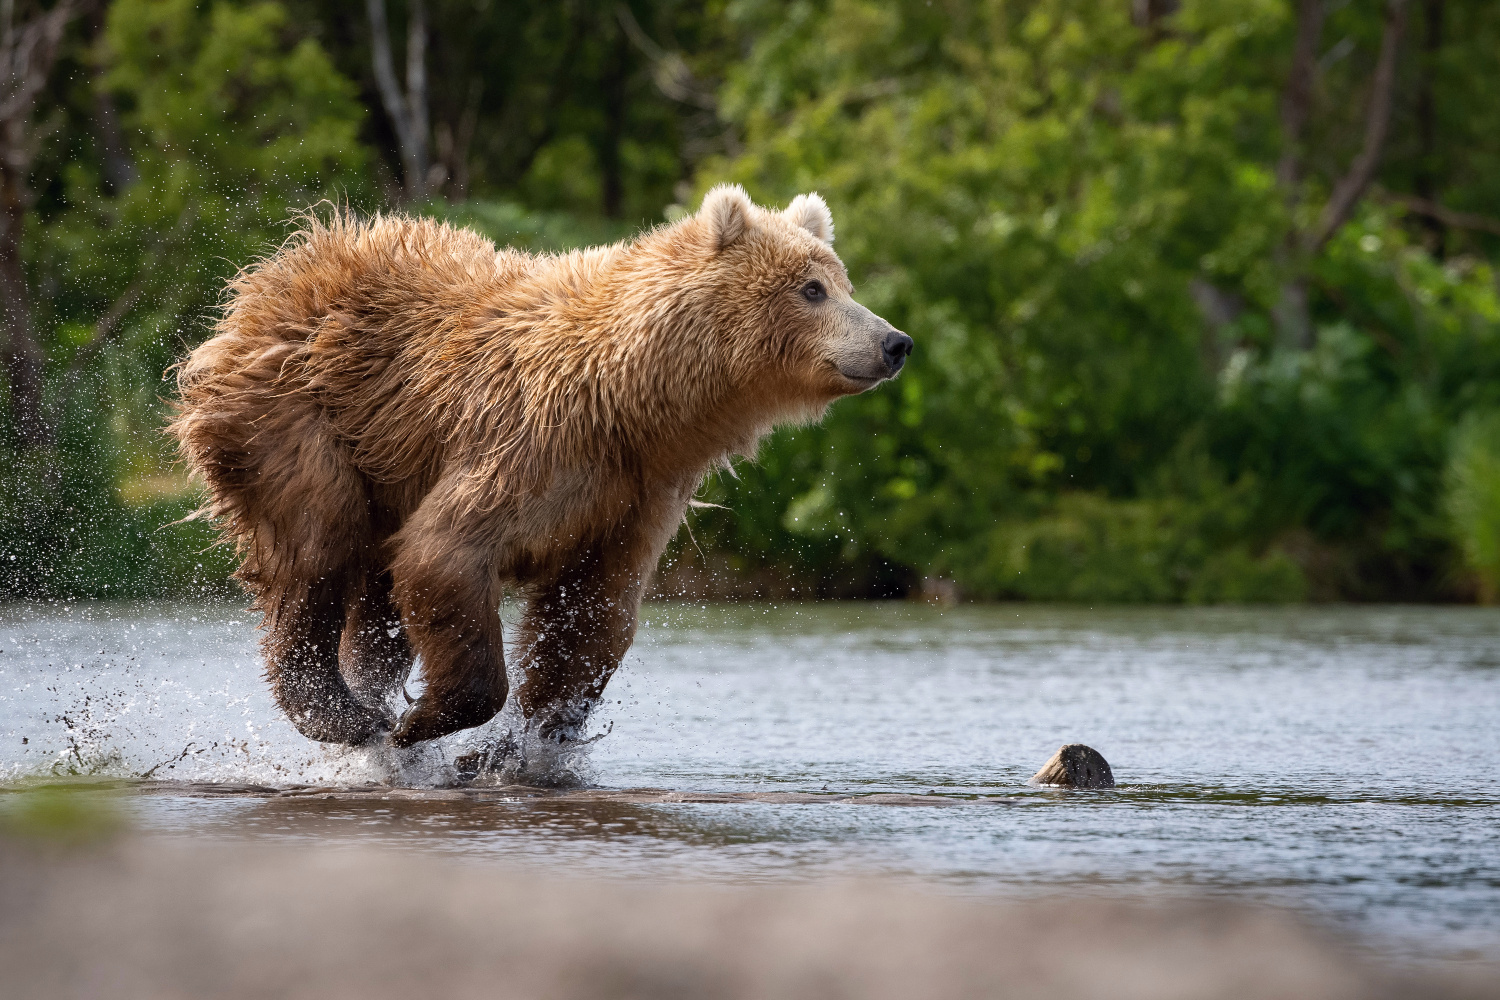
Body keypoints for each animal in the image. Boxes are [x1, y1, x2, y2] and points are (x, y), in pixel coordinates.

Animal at [170, 187, 906, 749]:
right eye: (812, 289)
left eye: (842, 282)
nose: (894, 341)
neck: (635, 401)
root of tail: (279, 269)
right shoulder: (530, 440)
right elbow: (445, 552)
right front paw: (425, 721)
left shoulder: (635, 494)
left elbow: (589, 615)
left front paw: (532, 740)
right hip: (298, 411)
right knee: (317, 543)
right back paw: (341, 713)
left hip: (381, 458)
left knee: (374, 590)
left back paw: (366, 691)